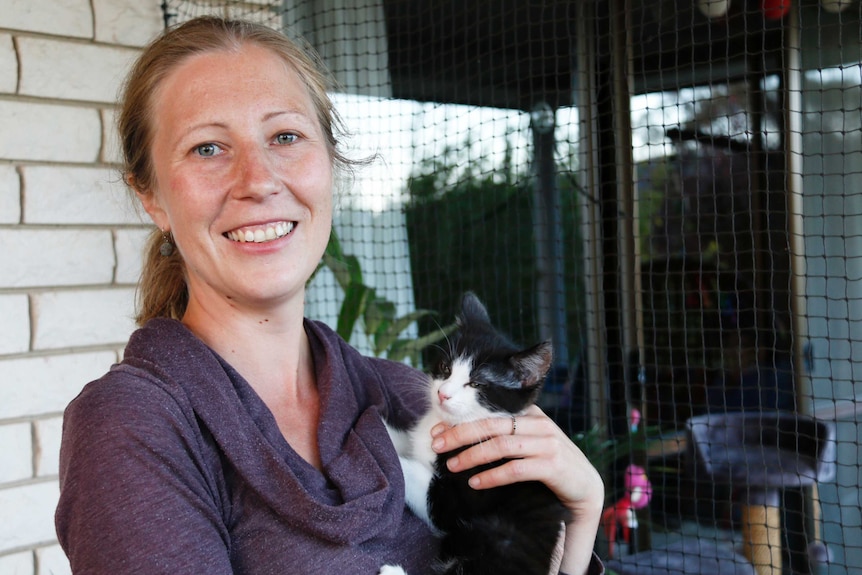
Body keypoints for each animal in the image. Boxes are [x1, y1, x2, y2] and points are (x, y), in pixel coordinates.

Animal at [382, 294, 572, 572]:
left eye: (477, 383)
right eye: (445, 367)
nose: (443, 393)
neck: (459, 424)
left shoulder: (459, 499)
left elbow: (415, 475)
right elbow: (406, 441)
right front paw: (378, 423)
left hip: (499, 536)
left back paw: (392, 570)